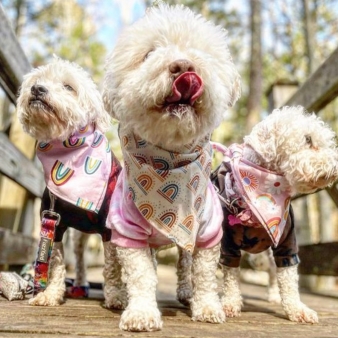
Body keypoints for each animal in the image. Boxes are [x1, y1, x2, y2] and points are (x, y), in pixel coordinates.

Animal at [16, 56, 125, 308]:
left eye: (68, 87)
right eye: (38, 80)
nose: (37, 89)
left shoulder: (109, 228)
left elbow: (112, 266)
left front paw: (115, 296)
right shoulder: (53, 222)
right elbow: (55, 262)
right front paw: (51, 294)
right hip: (79, 238)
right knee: (81, 261)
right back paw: (79, 285)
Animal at [103, 2, 240, 330]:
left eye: (199, 51)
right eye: (149, 53)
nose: (183, 66)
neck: (169, 162)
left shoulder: (207, 230)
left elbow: (204, 273)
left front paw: (207, 307)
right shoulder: (127, 232)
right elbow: (140, 275)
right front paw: (141, 312)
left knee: (184, 264)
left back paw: (186, 291)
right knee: (114, 268)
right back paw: (115, 296)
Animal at [211, 105, 338, 322]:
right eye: (308, 139)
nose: (335, 167)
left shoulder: (287, 238)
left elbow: (288, 276)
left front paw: (297, 309)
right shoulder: (227, 242)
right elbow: (231, 275)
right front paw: (230, 303)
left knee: (271, 270)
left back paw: (273, 295)